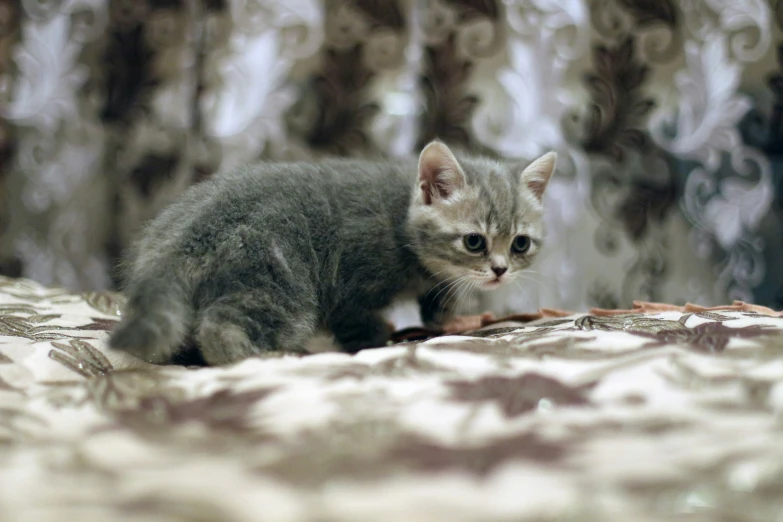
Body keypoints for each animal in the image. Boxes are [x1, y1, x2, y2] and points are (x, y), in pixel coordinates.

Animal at [110, 140, 556, 364]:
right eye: (474, 241)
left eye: (519, 243)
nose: (499, 270)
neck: (402, 219)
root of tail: (182, 237)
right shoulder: (352, 279)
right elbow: (357, 319)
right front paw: (380, 335)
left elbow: (434, 305)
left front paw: (454, 320)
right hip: (281, 281)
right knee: (223, 326)